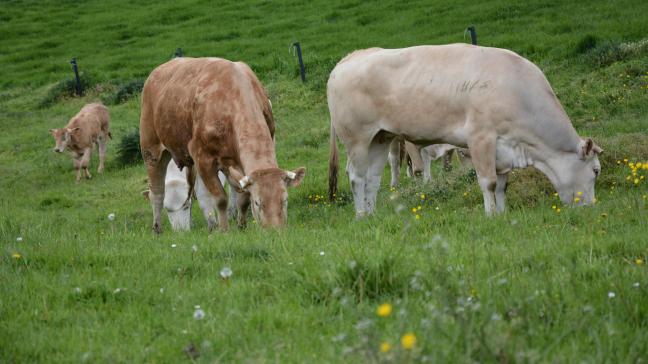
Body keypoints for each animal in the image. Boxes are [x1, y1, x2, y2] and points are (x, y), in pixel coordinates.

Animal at [139, 57, 304, 233]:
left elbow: (242, 196)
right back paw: (157, 228)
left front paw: (241, 225)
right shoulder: (202, 158)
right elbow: (220, 199)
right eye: (258, 203)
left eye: (285, 200)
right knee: (157, 192)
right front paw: (224, 229)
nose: (275, 230)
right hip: (151, 150)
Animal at [330, 44, 604, 216]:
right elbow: (489, 182)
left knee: (373, 179)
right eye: (596, 170)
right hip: (357, 139)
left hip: (380, 137)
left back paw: (372, 214)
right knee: (356, 177)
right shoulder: (481, 138)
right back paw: (361, 215)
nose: (591, 207)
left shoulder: (503, 148)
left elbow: (502, 184)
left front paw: (503, 213)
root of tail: (351, 57)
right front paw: (491, 216)